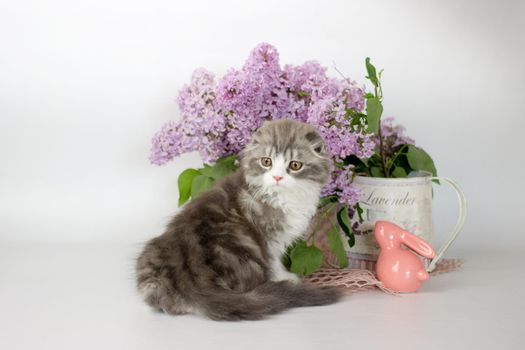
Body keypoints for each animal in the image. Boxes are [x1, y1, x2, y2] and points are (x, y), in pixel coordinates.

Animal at [135, 119, 342, 320]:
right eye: (266, 162)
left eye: (295, 165)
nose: (277, 177)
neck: (282, 196)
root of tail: (191, 279)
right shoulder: (269, 238)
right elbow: (274, 262)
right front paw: (285, 277)